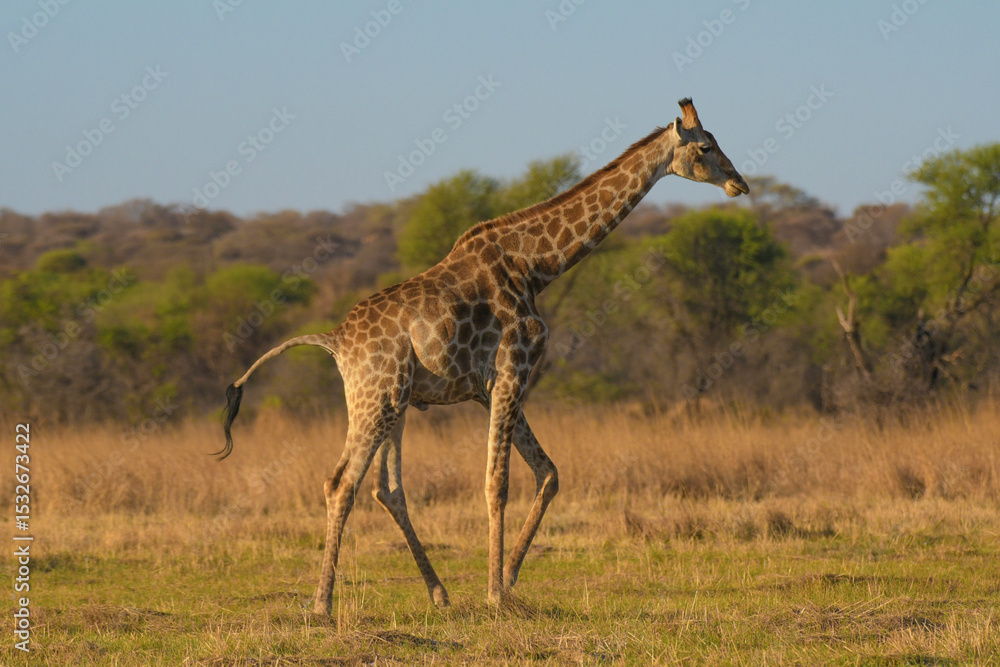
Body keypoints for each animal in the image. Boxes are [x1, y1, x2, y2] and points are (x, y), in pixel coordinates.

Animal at [217, 98, 749, 614]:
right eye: (705, 147)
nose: (739, 183)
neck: (538, 266)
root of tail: (336, 340)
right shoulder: (513, 368)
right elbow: (498, 482)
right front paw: (495, 594)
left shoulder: (487, 387)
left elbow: (548, 472)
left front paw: (509, 579)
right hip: (376, 400)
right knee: (341, 484)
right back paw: (323, 604)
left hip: (393, 404)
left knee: (385, 488)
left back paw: (437, 593)